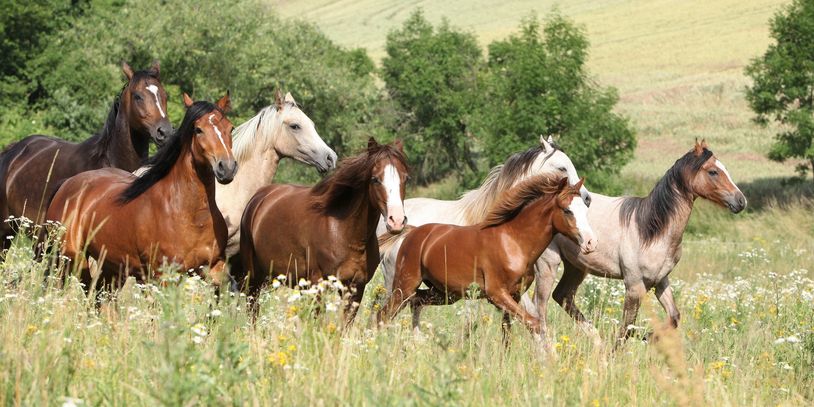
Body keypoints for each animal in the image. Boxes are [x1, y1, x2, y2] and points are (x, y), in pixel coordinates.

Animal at [45, 93, 237, 290]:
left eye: (230, 128)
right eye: (198, 130)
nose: (227, 167)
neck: (191, 215)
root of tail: (66, 185)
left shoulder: (214, 266)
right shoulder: (163, 277)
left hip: (110, 267)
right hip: (72, 259)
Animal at [237, 138, 408, 322]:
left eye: (406, 178)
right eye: (375, 179)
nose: (396, 221)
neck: (344, 232)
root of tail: (259, 197)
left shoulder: (355, 288)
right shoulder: (318, 285)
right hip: (253, 279)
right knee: (253, 312)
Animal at [377, 175, 596, 346]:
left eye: (585, 210)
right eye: (567, 211)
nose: (590, 243)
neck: (513, 242)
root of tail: (413, 233)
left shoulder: (513, 296)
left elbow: (507, 333)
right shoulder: (496, 294)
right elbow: (533, 323)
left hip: (443, 293)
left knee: (416, 302)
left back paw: (417, 341)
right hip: (404, 286)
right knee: (383, 315)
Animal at [520, 139, 747, 347]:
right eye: (713, 172)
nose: (741, 201)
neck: (650, 230)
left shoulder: (660, 281)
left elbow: (673, 317)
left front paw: (648, 336)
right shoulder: (634, 286)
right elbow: (626, 328)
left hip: (576, 267)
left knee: (563, 296)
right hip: (548, 265)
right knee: (540, 307)